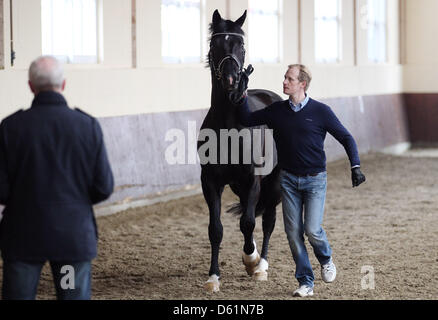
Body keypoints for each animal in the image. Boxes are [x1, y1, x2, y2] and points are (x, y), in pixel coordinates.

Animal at [199, 9, 282, 292]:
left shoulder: (253, 179)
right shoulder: (211, 182)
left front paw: (251, 260)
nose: (231, 81)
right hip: (238, 186)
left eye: (241, 46)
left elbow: (248, 222)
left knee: (267, 221)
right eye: (215, 44)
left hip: (274, 183)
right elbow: (215, 229)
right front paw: (213, 278)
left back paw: (261, 265)